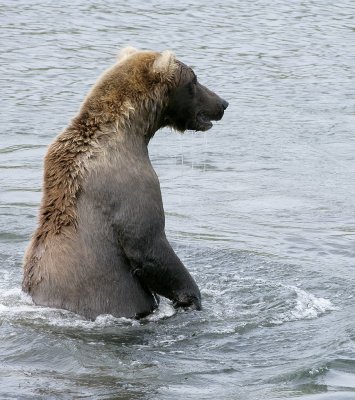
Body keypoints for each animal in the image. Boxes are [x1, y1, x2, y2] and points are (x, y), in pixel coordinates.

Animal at [22, 47, 229, 318]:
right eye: (194, 80)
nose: (222, 103)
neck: (132, 132)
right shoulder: (129, 184)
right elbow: (147, 243)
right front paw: (191, 298)